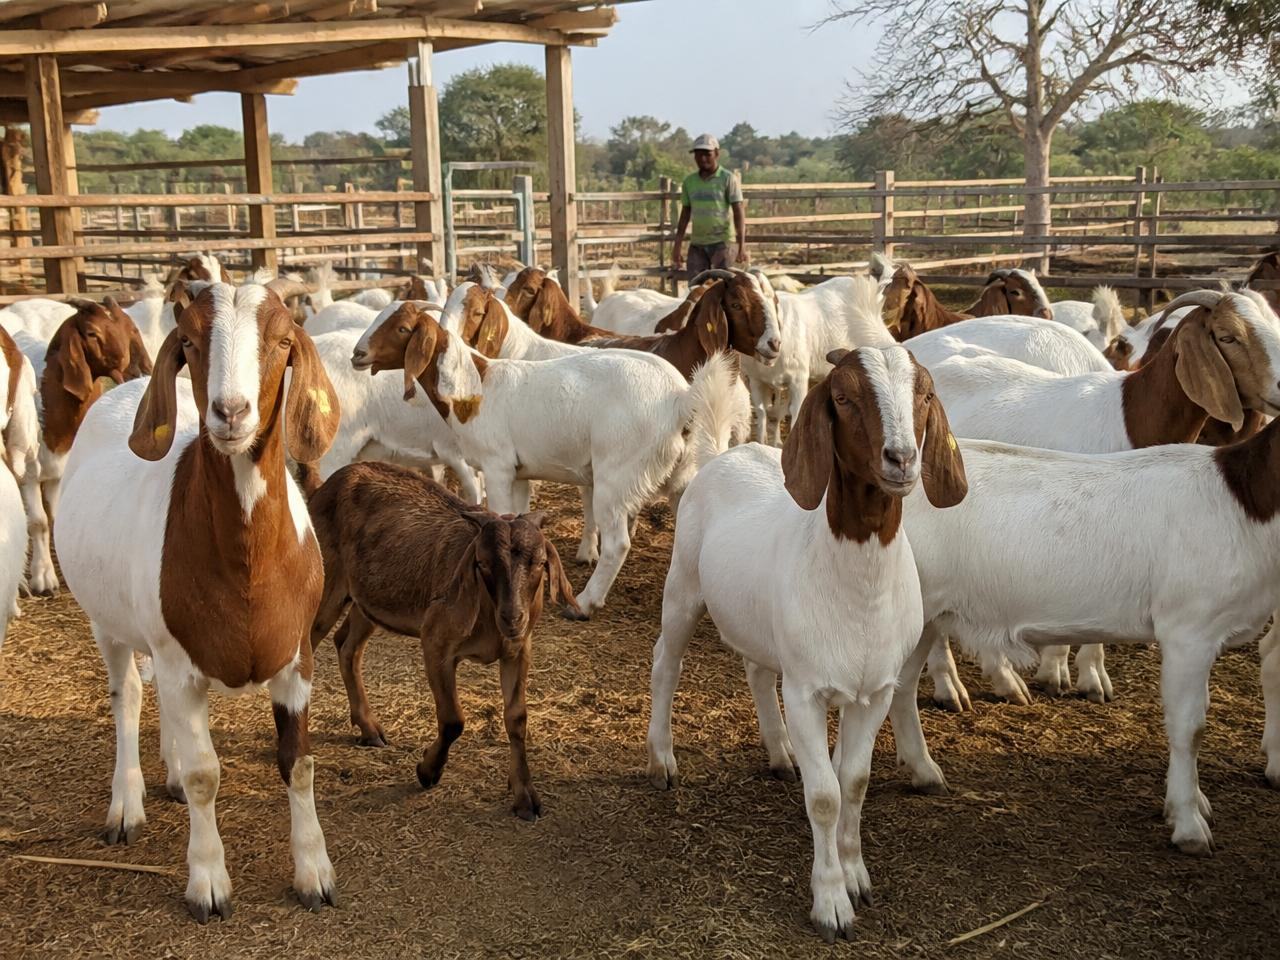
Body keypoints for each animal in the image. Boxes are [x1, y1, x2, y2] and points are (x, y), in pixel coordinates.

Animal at [55, 277, 341, 921]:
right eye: (187, 341)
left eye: (282, 340)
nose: (231, 412)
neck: (247, 568)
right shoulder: (177, 658)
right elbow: (207, 776)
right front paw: (208, 882)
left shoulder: (298, 659)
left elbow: (300, 762)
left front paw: (315, 873)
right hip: (108, 623)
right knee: (129, 696)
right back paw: (127, 806)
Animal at [307, 461, 581, 818]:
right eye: (482, 563)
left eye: (539, 563)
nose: (512, 617)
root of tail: (327, 485)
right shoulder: (436, 642)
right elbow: (453, 720)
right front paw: (427, 771)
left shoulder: (518, 649)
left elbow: (517, 719)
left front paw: (525, 797)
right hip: (326, 587)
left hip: (369, 601)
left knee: (346, 645)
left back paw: (369, 729)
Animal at [352, 300, 745, 616]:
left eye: (403, 328)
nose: (357, 354)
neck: (475, 389)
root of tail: (680, 398)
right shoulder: (519, 472)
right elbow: (517, 515)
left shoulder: (497, 467)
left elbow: (497, 513)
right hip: (681, 474)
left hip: (618, 473)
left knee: (617, 543)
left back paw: (585, 603)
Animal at [647, 345, 967, 940]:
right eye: (842, 396)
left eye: (926, 393)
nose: (901, 459)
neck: (857, 585)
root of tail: (726, 452)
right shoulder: (806, 691)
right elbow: (824, 796)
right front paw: (832, 902)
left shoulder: (875, 691)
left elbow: (854, 782)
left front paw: (856, 873)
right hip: (683, 584)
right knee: (665, 664)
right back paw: (662, 761)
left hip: (760, 622)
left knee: (755, 670)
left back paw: (779, 753)